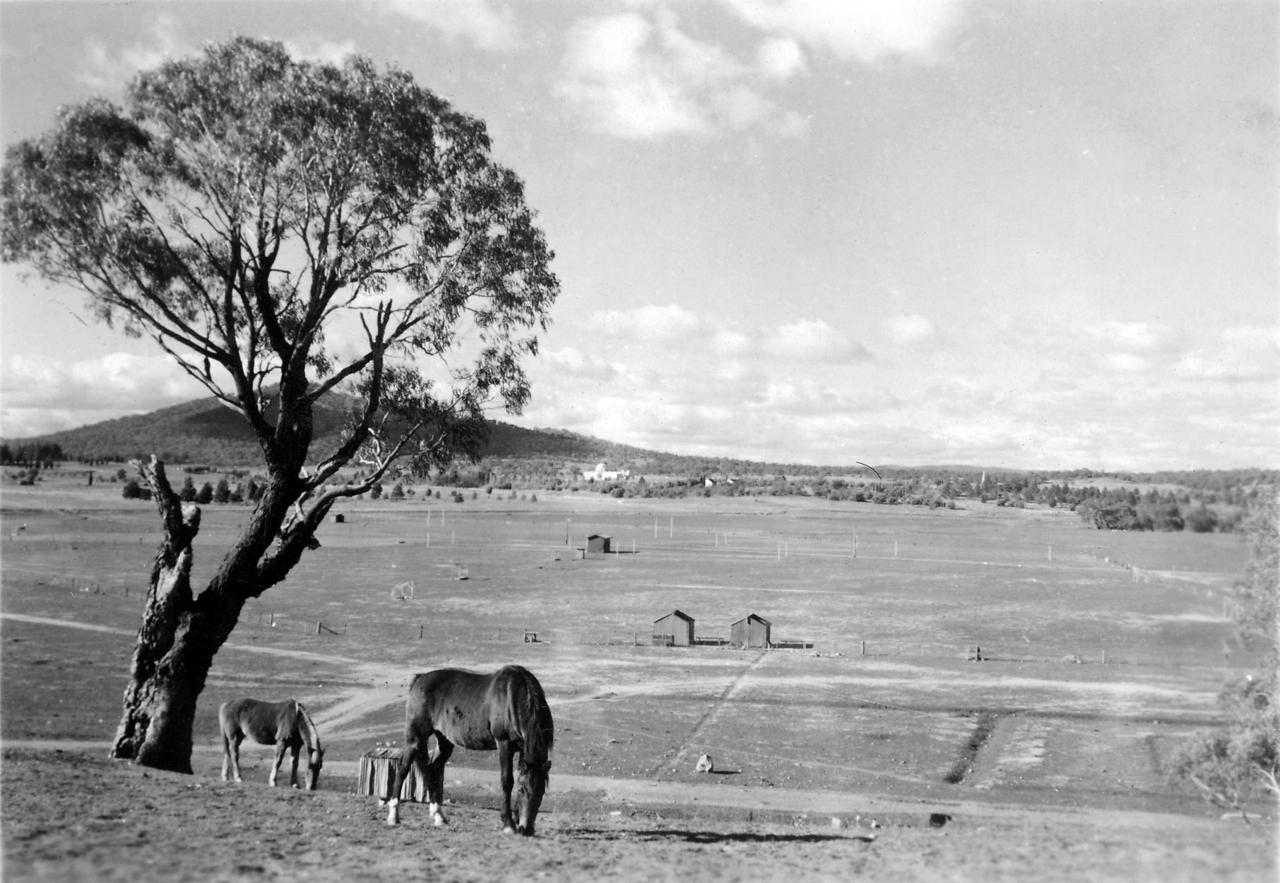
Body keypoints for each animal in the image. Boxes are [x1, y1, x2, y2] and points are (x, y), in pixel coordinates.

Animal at [384, 665, 555, 834]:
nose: (526, 829)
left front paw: (516, 819)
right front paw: (508, 824)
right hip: (415, 738)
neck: (514, 696)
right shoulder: (504, 744)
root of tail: (419, 679)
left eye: (541, 792)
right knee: (403, 770)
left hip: (444, 742)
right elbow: (507, 781)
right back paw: (393, 816)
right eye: (521, 791)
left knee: (431, 770)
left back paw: (438, 816)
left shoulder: (521, 748)